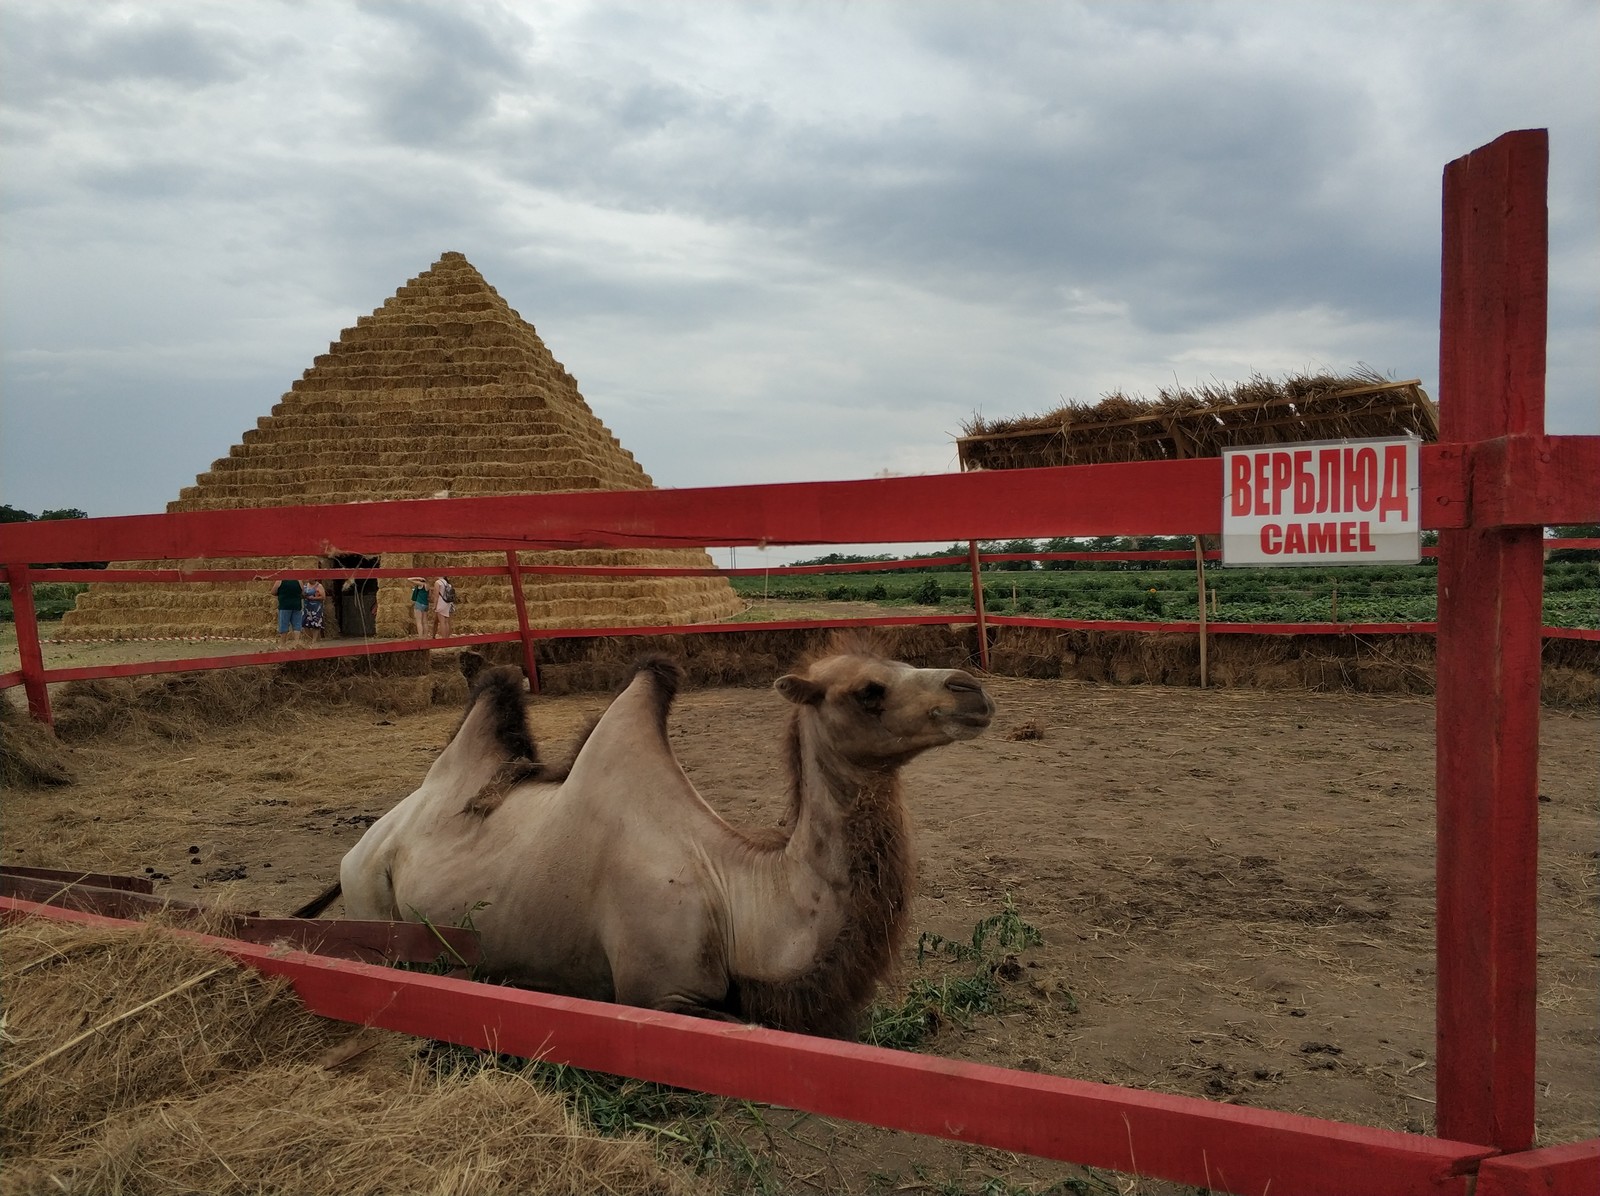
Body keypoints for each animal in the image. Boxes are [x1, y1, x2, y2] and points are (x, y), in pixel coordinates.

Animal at [302, 636, 985, 1036]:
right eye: (868, 690)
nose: (972, 689)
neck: (737, 894)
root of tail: (360, 846)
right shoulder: (657, 994)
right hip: (370, 897)